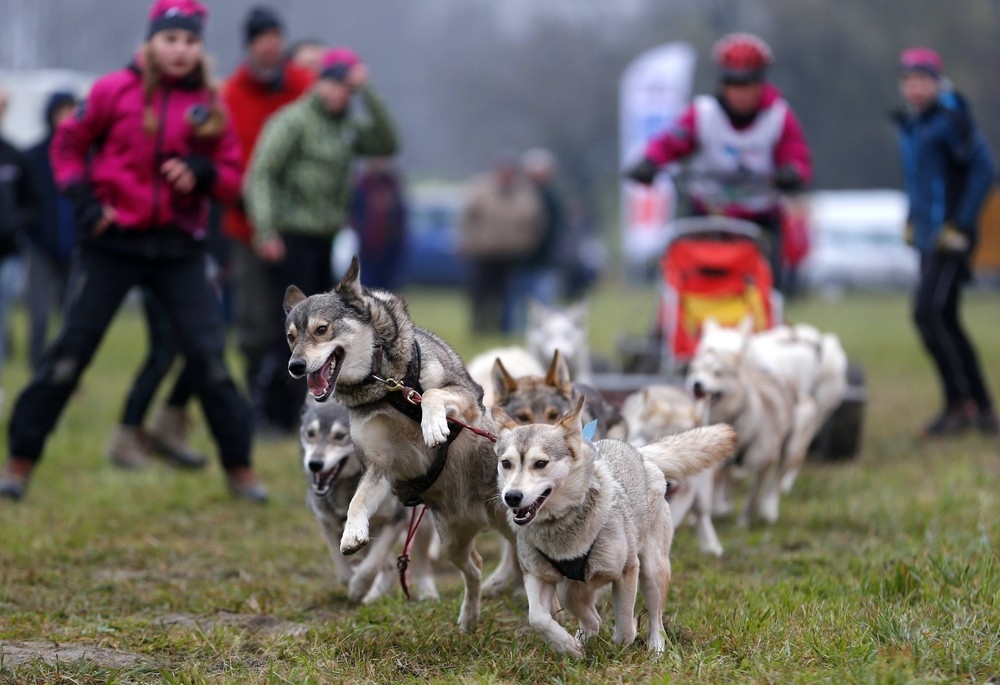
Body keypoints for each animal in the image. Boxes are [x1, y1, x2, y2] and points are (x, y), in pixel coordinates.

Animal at [298, 396, 436, 604]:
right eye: (310, 434)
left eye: (340, 436)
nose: (314, 464)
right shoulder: (328, 523)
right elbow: (343, 568)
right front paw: (354, 583)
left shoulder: (397, 520)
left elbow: (373, 564)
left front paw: (358, 586)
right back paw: (374, 595)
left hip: (422, 521)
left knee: (422, 559)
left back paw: (427, 590)